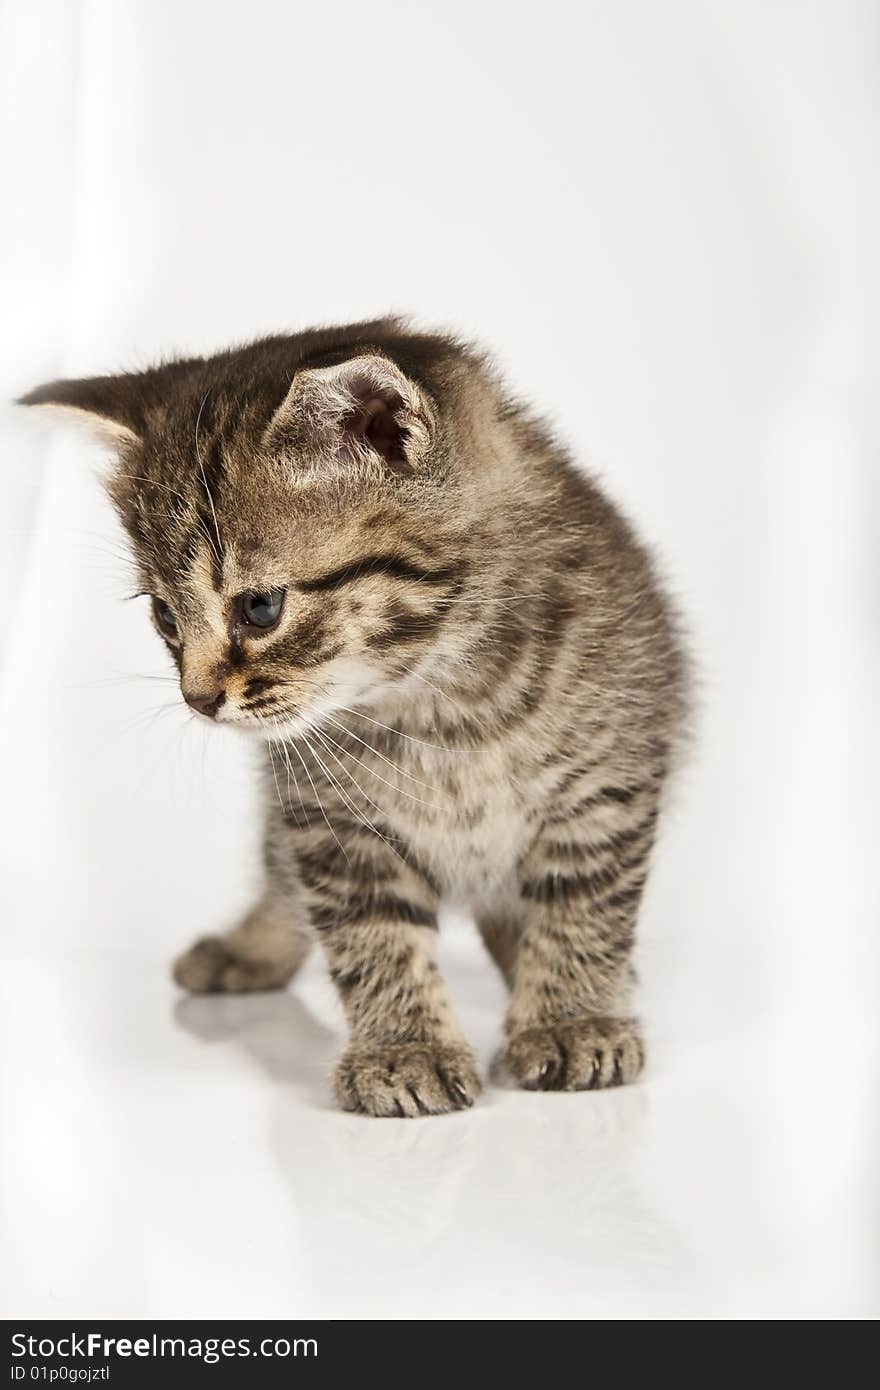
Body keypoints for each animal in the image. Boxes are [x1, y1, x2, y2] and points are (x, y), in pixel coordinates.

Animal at [22, 322, 686, 1117]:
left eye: (260, 608)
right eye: (164, 618)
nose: (198, 699)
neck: (437, 702)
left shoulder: (607, 782)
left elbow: (582, 908)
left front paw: (571, 1021)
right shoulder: (328, 819)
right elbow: (371, 934)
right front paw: (405, 1049)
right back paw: (251, 945)